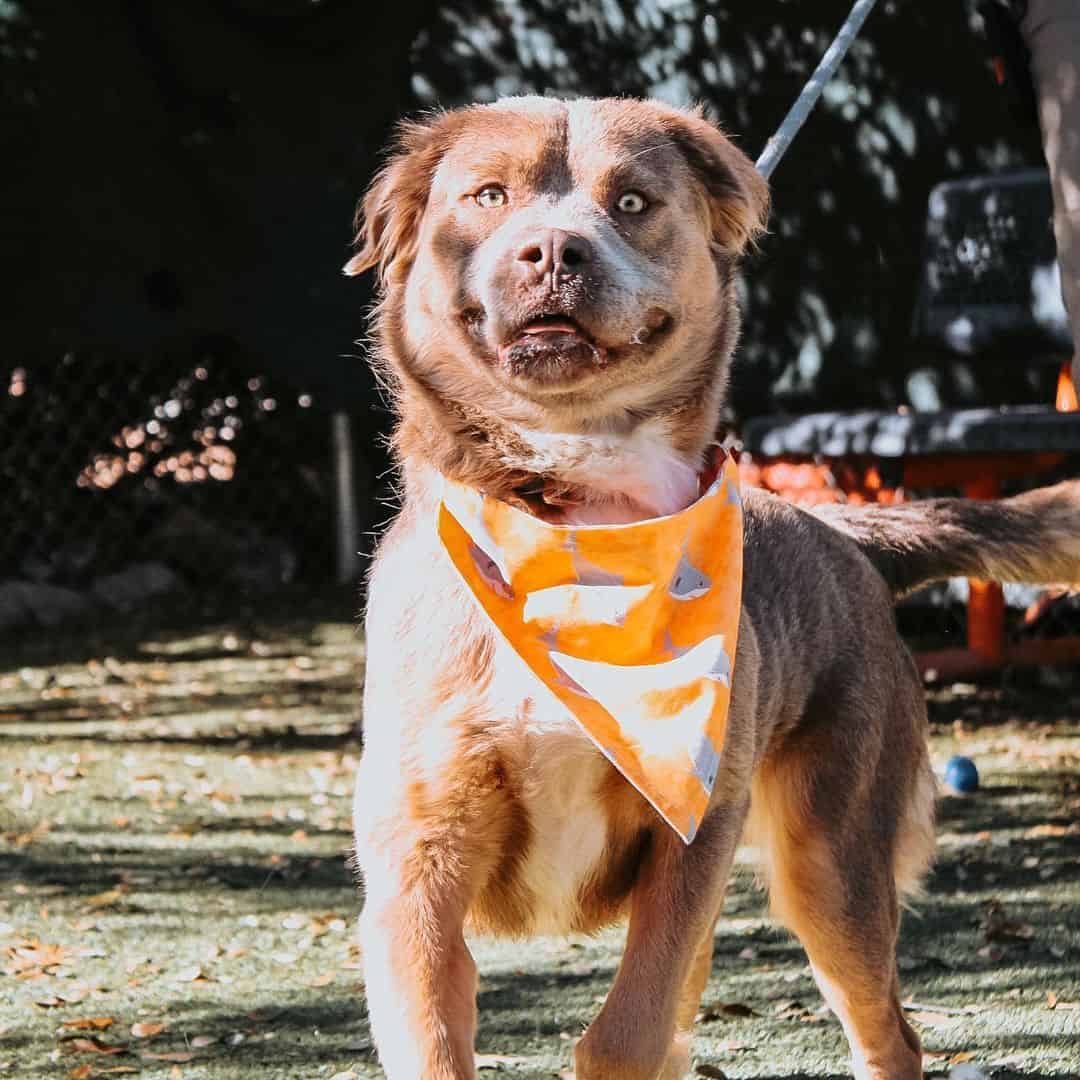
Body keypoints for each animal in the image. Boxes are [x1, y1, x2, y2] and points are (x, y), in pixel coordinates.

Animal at [343, 97, 1080, 1075]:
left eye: (631, 202)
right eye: (489, 195)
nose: (553, 251)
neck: (581, 527)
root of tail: (843, 530)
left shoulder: (692, 837)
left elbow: (624, 1034)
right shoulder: (414, 872)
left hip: (832, 863)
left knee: (887, 1031)